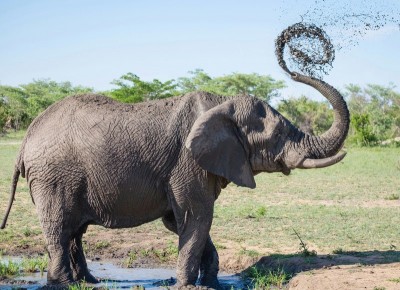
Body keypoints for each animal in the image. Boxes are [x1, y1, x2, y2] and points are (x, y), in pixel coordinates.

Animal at [1, 70, 348, 288]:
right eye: (277, 135)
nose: (292, 66)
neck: (221, 103)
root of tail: (26, 139)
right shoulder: (187, 162)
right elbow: (197, 217)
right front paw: (187, 285)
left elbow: (181, 221)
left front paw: (210, 283)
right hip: (53, 177)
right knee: (59, 227)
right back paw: (62, 284)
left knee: (74, 230)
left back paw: (87, 282)